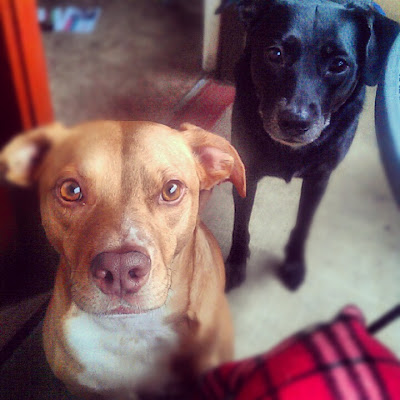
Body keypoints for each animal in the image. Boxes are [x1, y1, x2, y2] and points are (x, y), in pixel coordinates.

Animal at [218, 0, 400, 291]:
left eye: (338, 64)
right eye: (275, 53)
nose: (295, 121)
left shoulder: (319, 178)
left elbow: (304, 222)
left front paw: (293, 263)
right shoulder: (248, 171)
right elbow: (241, 222)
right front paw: (235, 263)